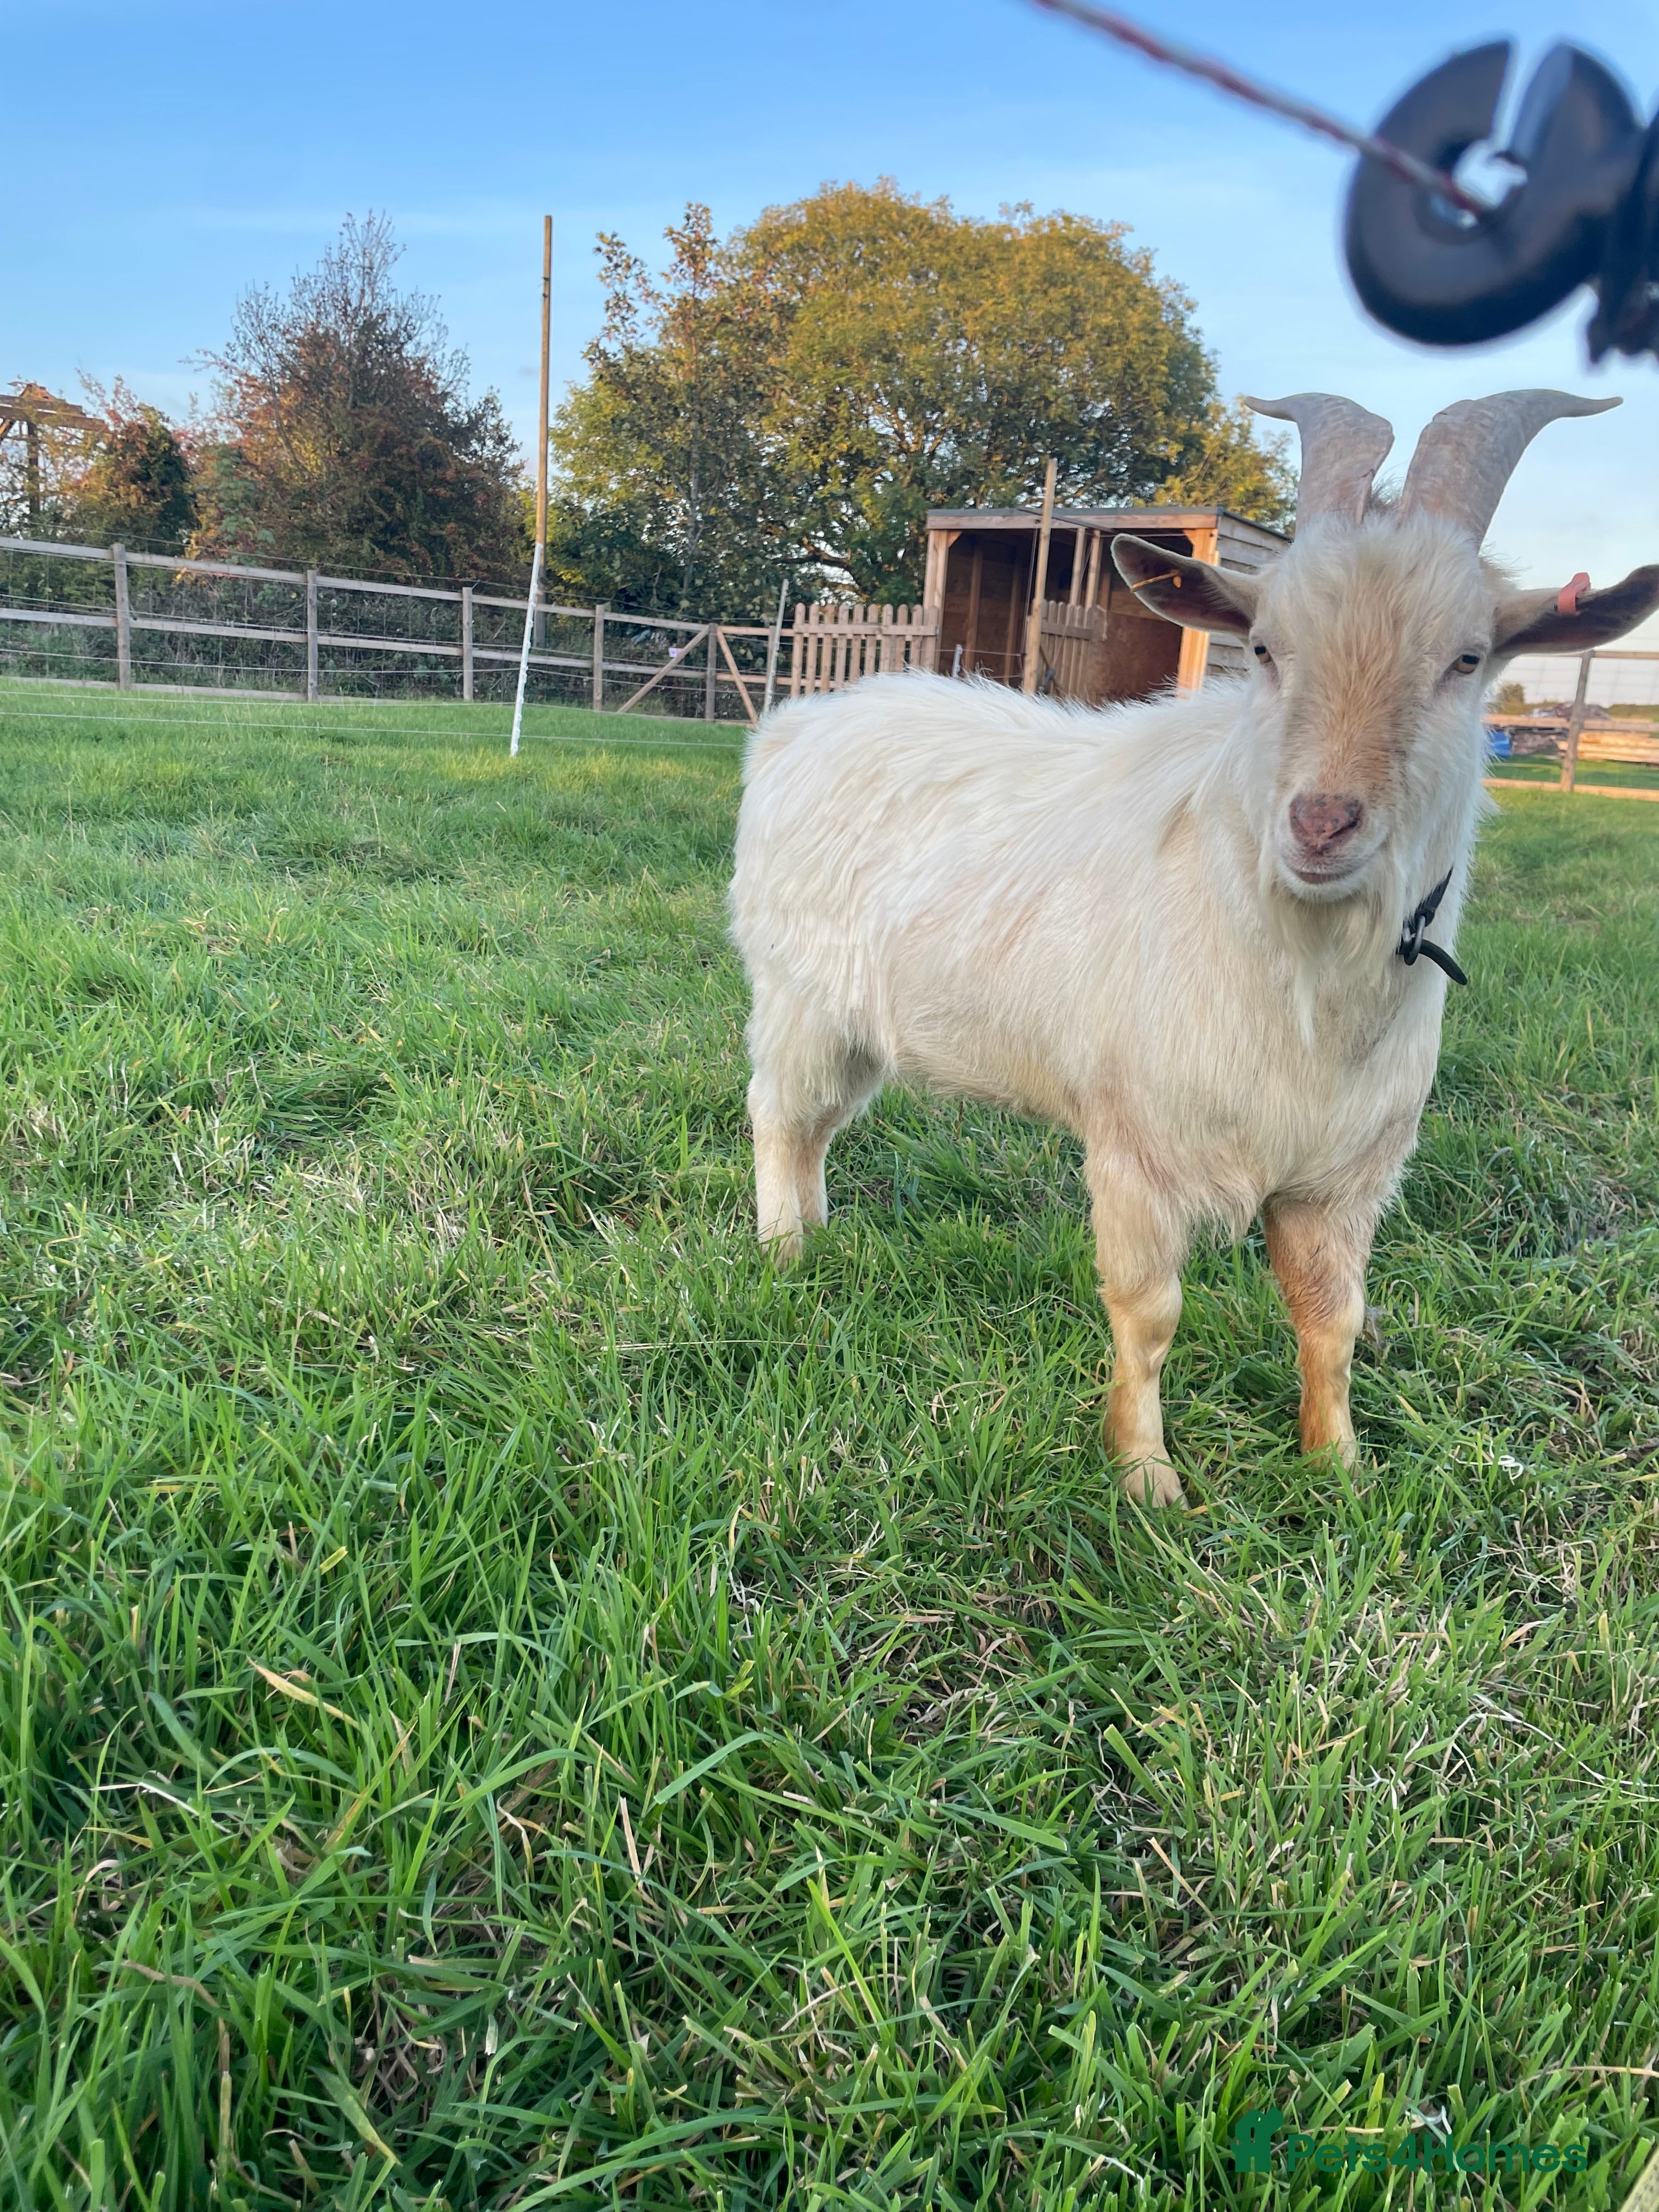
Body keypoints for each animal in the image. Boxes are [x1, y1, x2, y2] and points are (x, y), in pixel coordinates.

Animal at [729, 391, 1659, 1504]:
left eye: (1467, 658)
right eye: (1262, 648)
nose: (1319, 823)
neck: (1299, 977)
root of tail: (797, 722)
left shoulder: (1344, 1176)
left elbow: (1331, 1319)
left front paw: (1337, 1466)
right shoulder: (1137, 1148)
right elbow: (1148, 1314)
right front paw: (1145, 1480)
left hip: (861, 1025)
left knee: (822, 1127)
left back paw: (821, 1233)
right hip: (796, 994)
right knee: (780, 1118)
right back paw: (783, 1253)